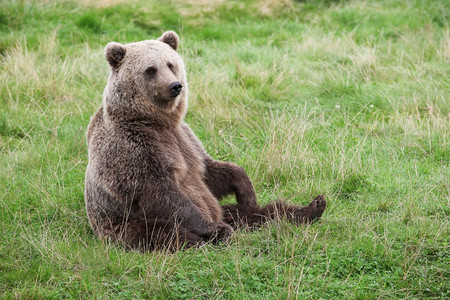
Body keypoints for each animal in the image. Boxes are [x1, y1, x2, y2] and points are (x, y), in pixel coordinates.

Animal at [83, 30, 326, 252]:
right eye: (150, 69)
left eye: (170, 64)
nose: (175, 86)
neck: (156, 121)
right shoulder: (133, 148)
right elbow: (162, 193)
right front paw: (214, 230)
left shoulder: (186, 139)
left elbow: (209, 171)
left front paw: (247, 192)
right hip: (121, 225)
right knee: (161, 231)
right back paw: (208, 236)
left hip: (225, 211)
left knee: (262, 212)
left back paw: (312, 207)